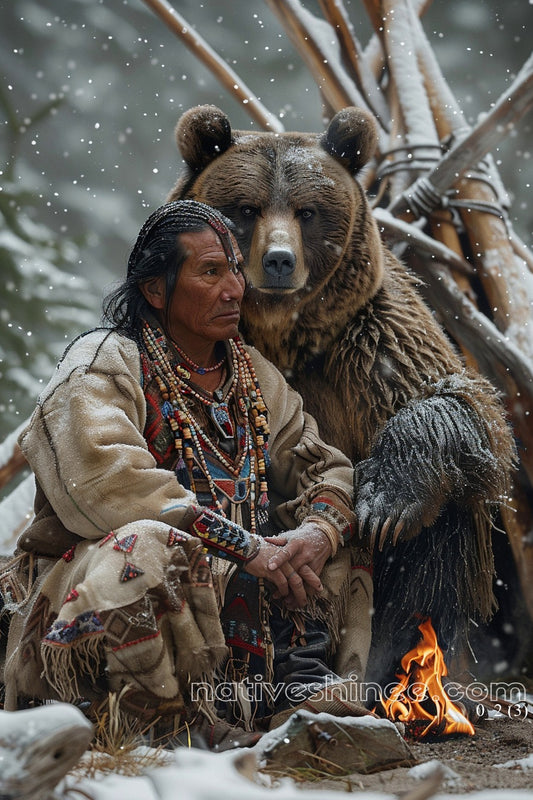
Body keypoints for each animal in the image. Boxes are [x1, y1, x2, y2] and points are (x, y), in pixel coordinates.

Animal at [168, 104, 516, 686]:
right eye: (247, 208)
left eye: (307, 211)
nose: (279, 260)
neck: (285, 338)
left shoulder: (373, 345)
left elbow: (461, 404)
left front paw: (384, 500)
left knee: (439, 544)